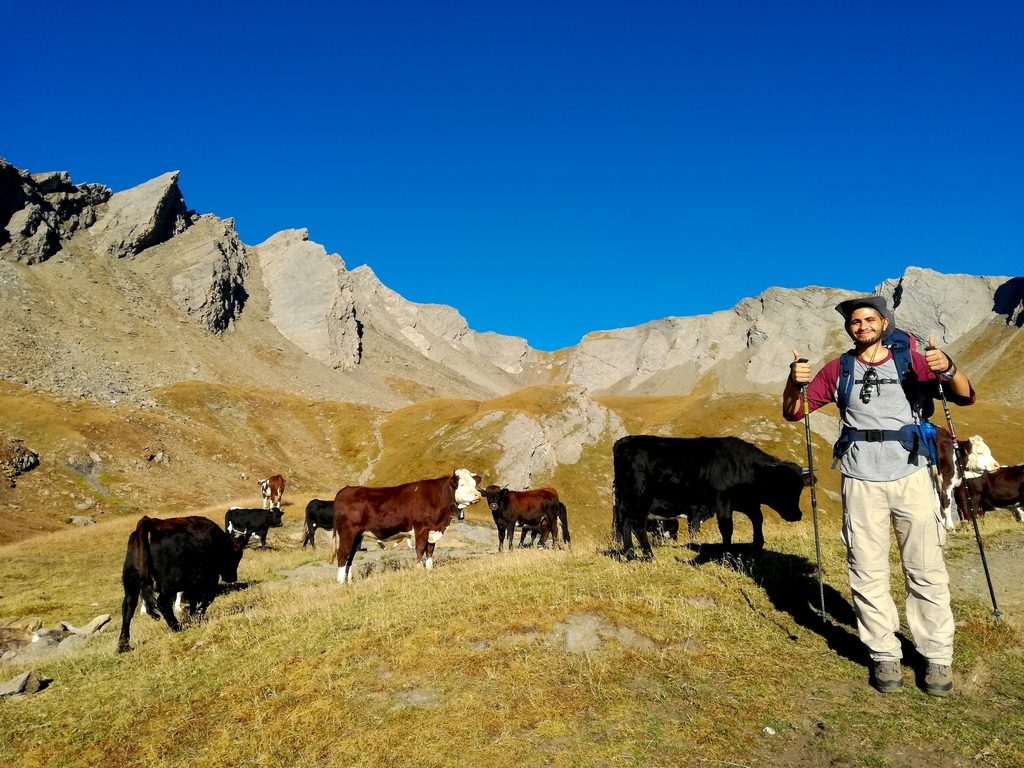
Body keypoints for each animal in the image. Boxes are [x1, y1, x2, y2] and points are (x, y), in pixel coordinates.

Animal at [118, 520, 245, 651]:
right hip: (169, 586)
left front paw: (192, 617)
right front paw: (196, 617)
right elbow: (207, 598)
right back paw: (177, 628)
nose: (232, 577)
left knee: (128, 608)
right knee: (162, 604)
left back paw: (124, 645)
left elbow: (194, 601)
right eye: (237, 556)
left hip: (131, 583)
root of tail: (149, 523)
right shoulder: (209, 579)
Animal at [606, 438, 806, 561]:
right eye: (783, 487)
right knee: (636, 524)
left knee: (626, 522)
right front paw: (726, 553)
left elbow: (757, 518)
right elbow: (726, 527)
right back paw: (648, 555)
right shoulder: (720, 502)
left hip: (627, 499)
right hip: (640, 497)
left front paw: (758, 544)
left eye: (799, 488)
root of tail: (623, 442)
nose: (797, 515)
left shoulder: (745, 502)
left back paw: (630, 554)